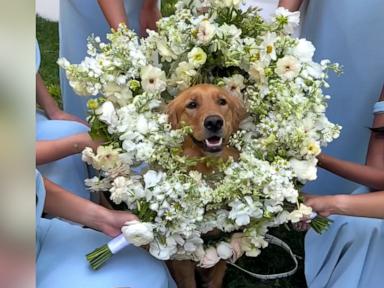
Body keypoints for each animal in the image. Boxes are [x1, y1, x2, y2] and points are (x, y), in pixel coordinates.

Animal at [166, 84, 246, 288]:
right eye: (192, 104)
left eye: (222, 101)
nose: (214, 122)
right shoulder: (183, 256)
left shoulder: (223, 244)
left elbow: (216, 279)